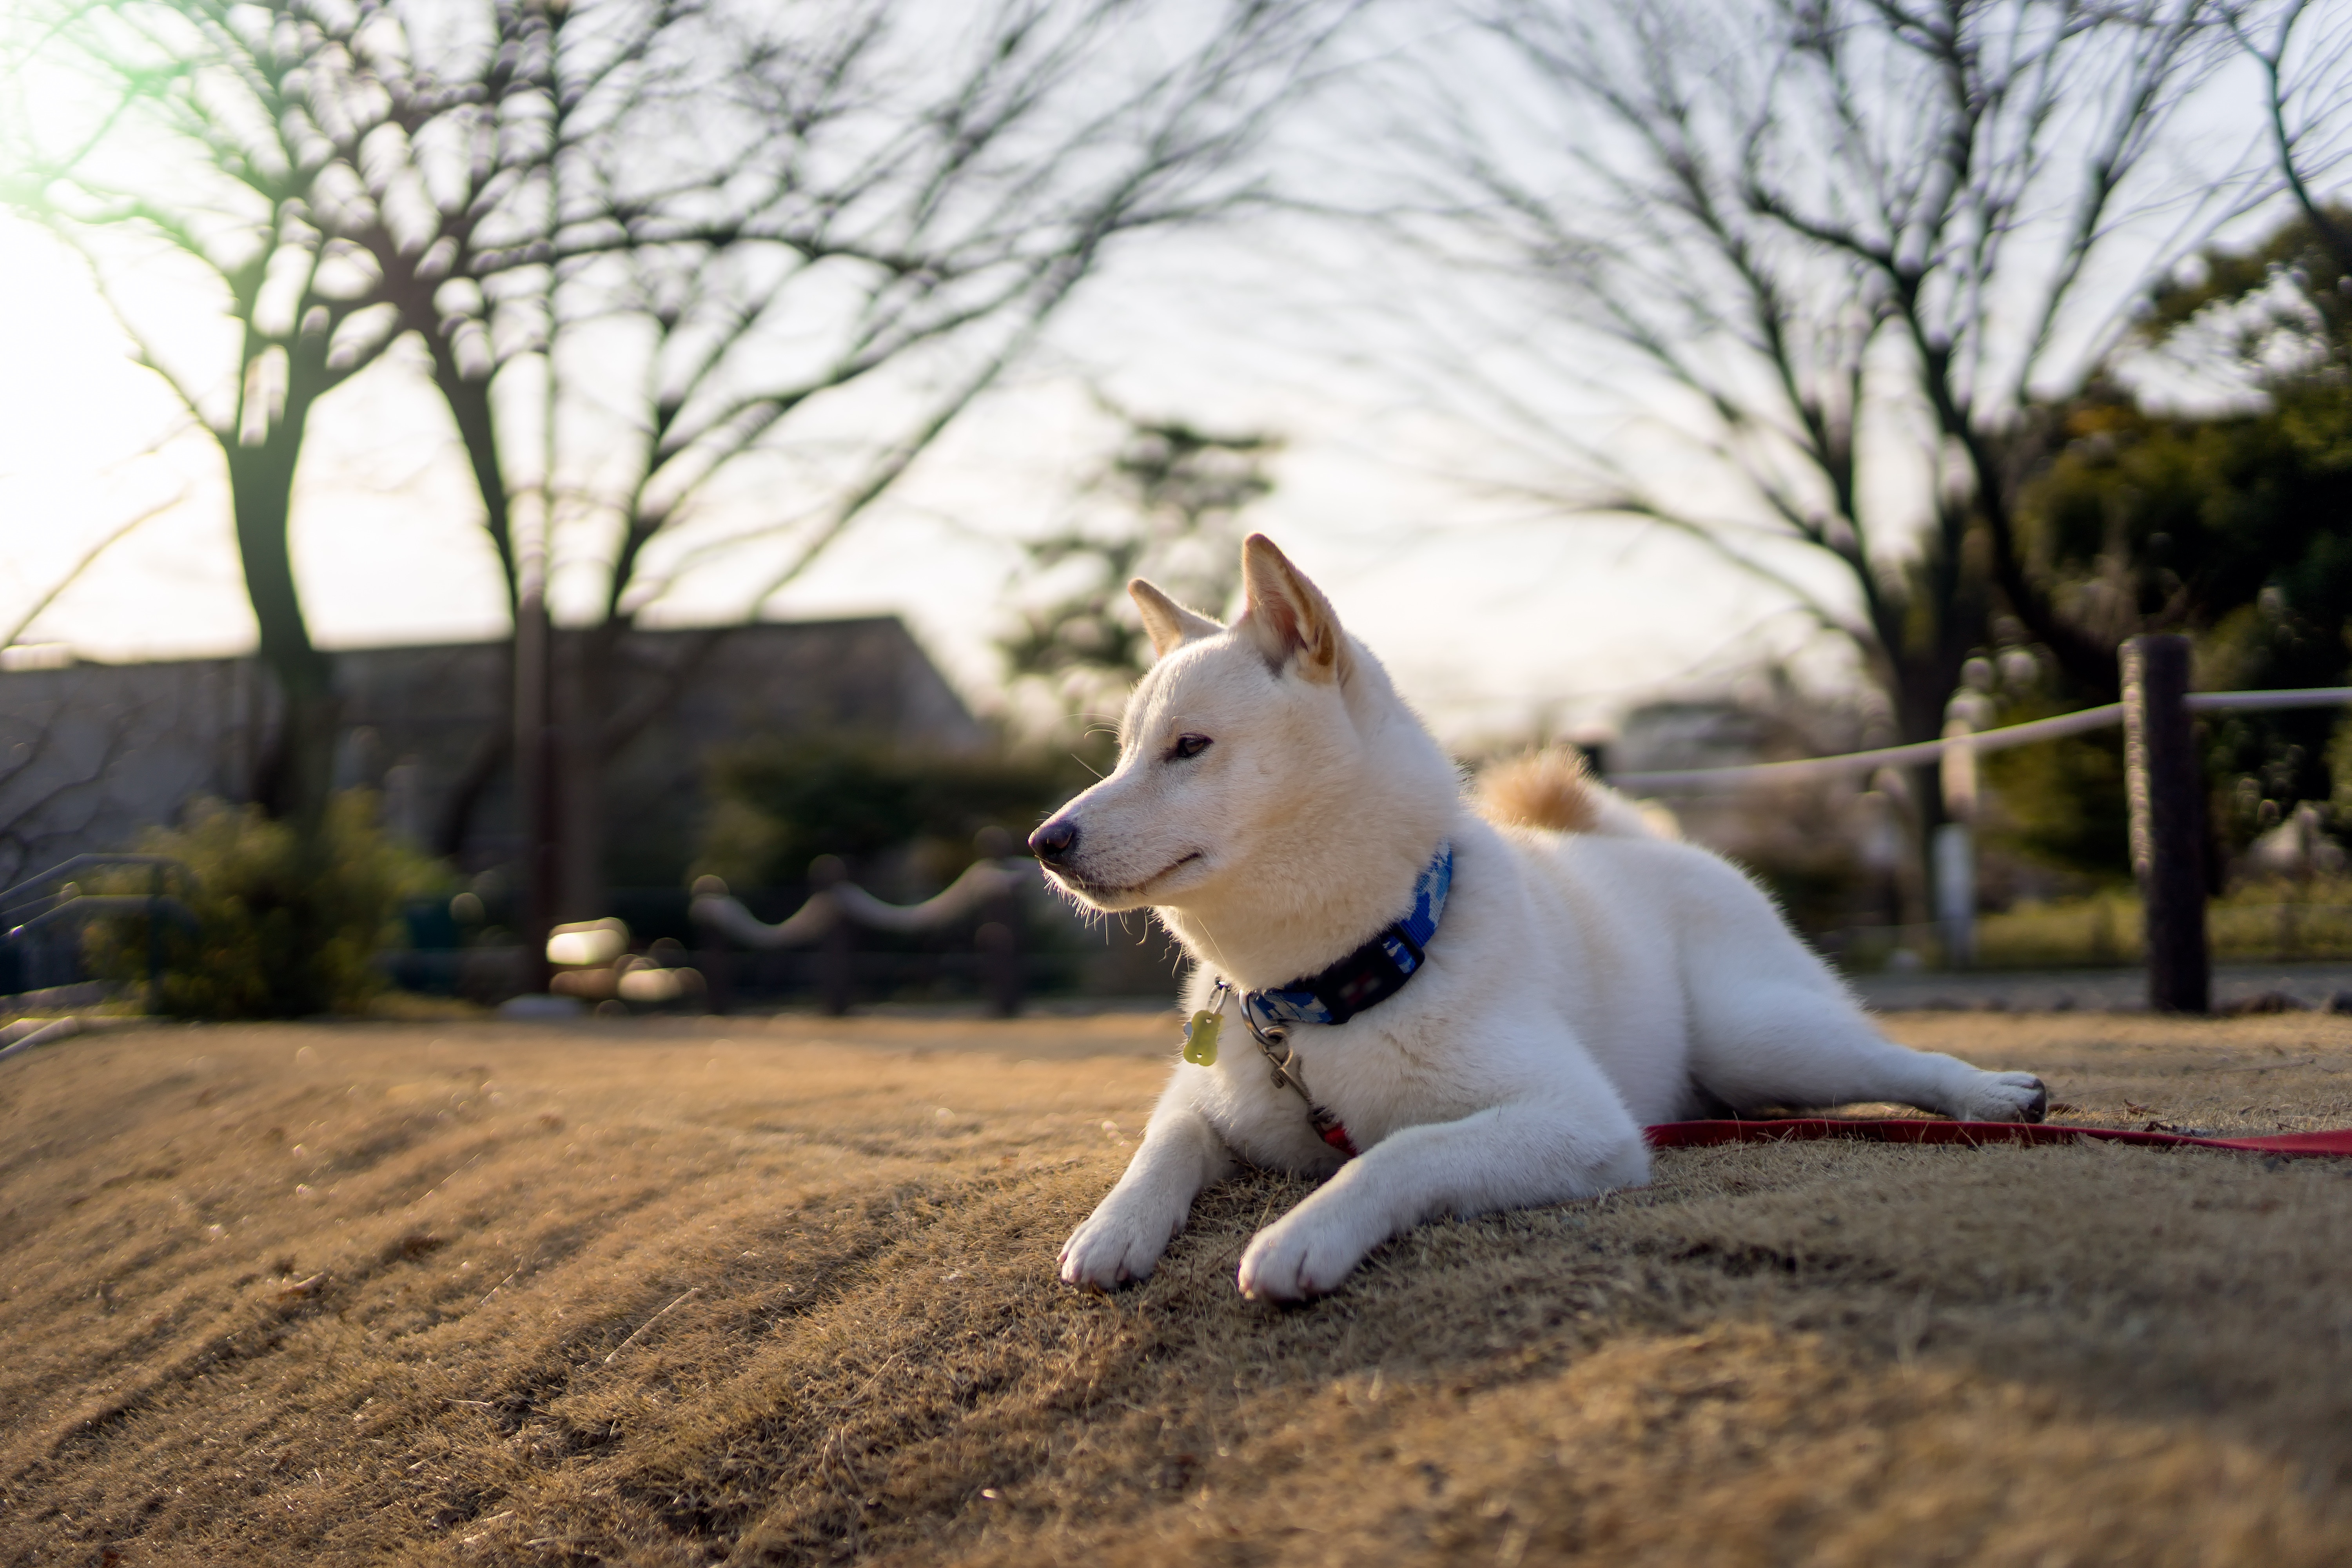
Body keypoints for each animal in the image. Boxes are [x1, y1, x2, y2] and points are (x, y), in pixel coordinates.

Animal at [1030, 536, 2042, 1298]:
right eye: (1124, 753)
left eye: (1189, 747)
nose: (1046, 839)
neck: (1324, 991)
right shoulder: (1209, 1097)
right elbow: (1164, 1143)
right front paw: (1114, 1227)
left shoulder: (1580, 1120)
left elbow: (1402, 1152)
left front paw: (1305, 1232)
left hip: (1758, 1036)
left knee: (1891, 1059)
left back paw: (1995, 1094)